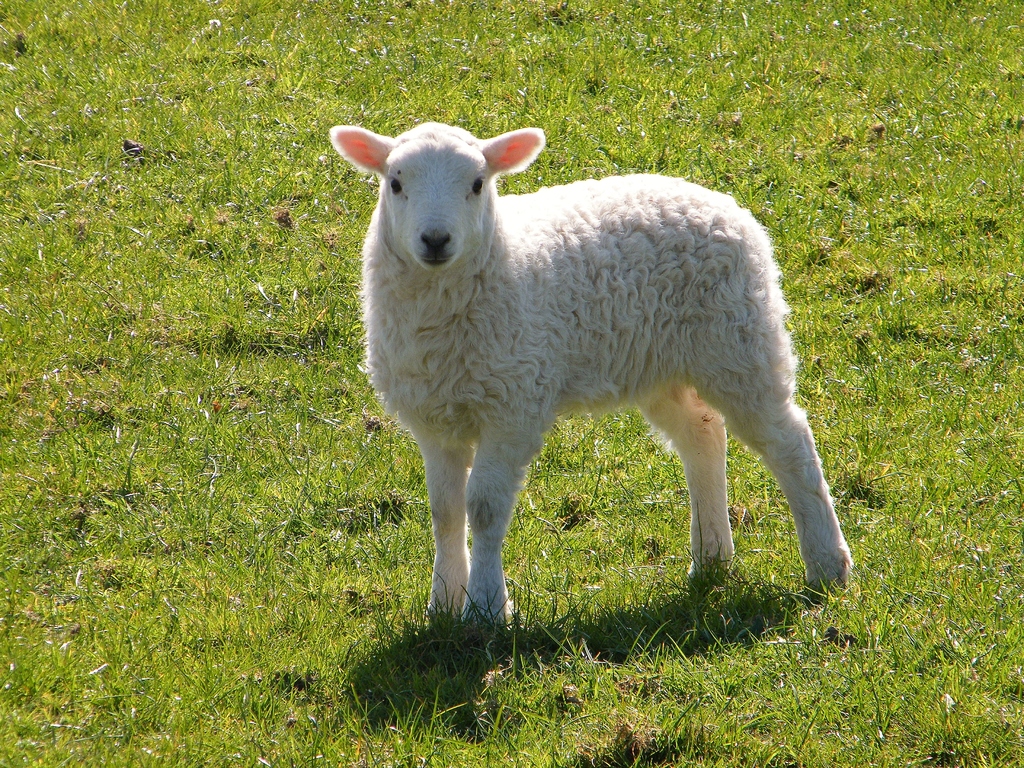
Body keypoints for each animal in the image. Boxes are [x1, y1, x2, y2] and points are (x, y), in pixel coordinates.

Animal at [329, 121, 853, 622]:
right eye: (395, 183)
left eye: (478, 184)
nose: (435, 240)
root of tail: (723, 203)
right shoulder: (434, 418)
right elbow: (445, 510)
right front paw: (442, 605)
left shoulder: (514, 405)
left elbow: (484, 507)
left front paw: (486, 608)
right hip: (663, 363)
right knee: (702, 435)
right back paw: (711, 558)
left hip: (739, 340)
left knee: (789, 441)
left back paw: (828, 565)